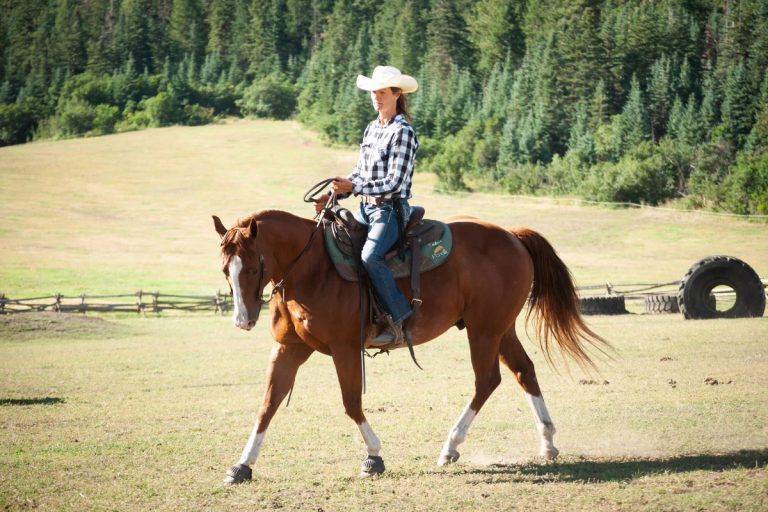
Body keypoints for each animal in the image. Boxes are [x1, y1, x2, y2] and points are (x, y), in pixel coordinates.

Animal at [212, 208, 608, 483]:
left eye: (252, 267)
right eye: (225, 270)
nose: (243, 320)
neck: (313, 269)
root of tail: (512, 235)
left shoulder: (344, 349)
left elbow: (351, 403)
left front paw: (374, 456)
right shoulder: (288, 348)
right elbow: (267, 405)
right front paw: (242, 465)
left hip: (483, 331)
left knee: (487, 381)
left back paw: (450, 446)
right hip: (501, 329)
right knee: (524, 372)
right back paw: (547, 442)